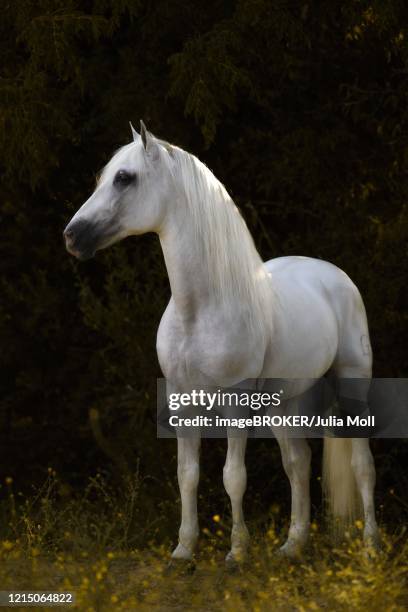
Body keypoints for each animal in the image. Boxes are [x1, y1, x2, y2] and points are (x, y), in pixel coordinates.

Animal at [63, 122, 380, 568]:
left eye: (125, 178)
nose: (73, 237)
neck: (199, 309)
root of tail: (333, 275)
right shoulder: (182, 402)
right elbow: (187, 475)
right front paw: (183, 550)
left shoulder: (235, 401)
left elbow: (233, 476)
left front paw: (237, 552)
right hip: (284, 402)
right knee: (298, 464)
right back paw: (293, 545)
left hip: (352, 383)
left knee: (362, 464)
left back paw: (370, 546)